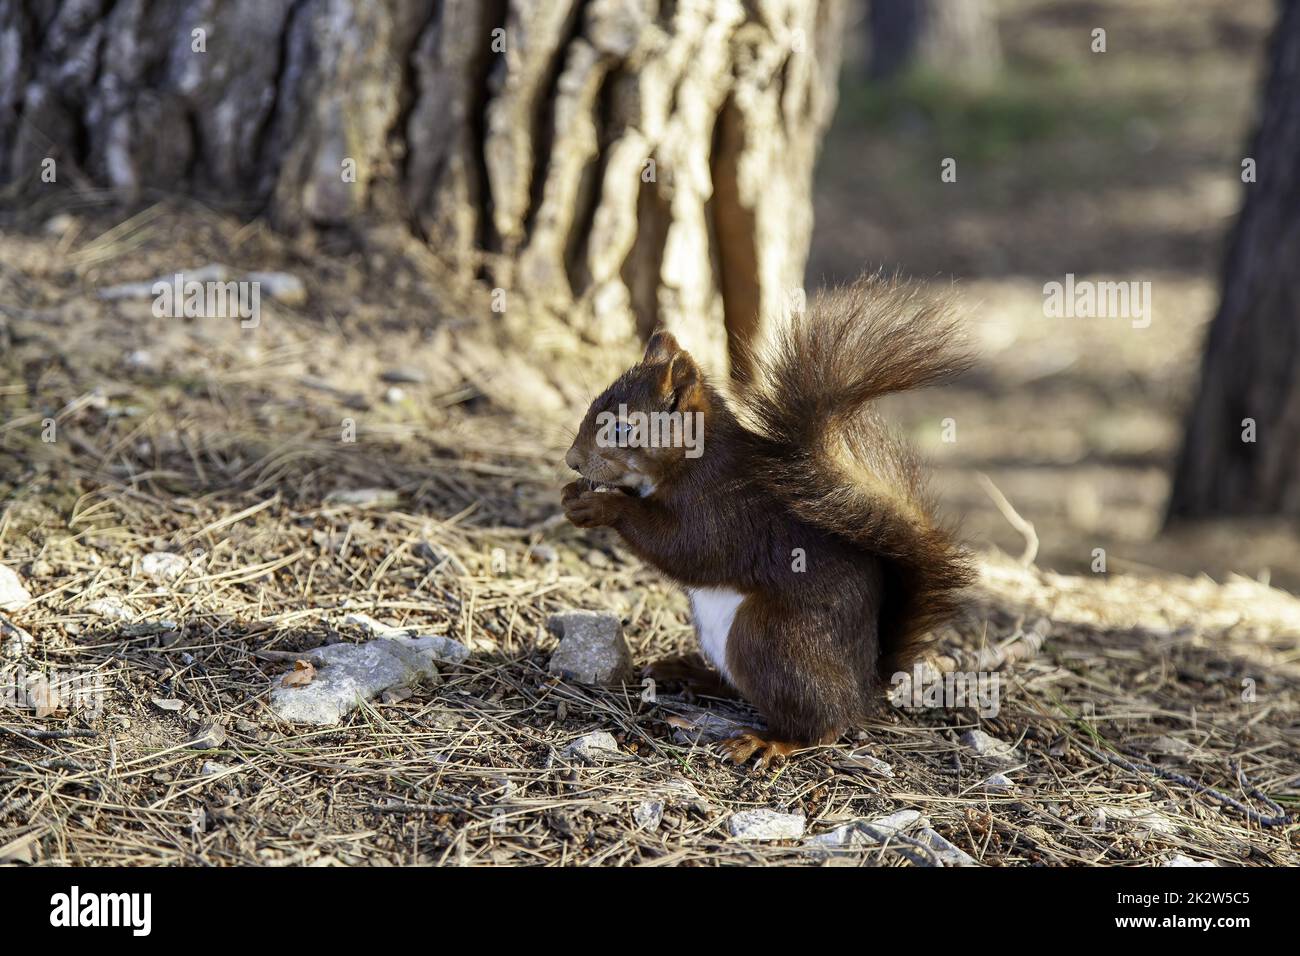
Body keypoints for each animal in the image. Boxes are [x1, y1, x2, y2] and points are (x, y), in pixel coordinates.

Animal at [561, 273, 977, 764]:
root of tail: (863, 688)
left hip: (770, 638)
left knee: (821, 725)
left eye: (623, 428)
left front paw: (601, 507)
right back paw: (690, 673)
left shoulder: (722, 511)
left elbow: (684, 549)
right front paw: (574, 495)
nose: (571, 461)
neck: (693, 460)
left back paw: (767, 741)